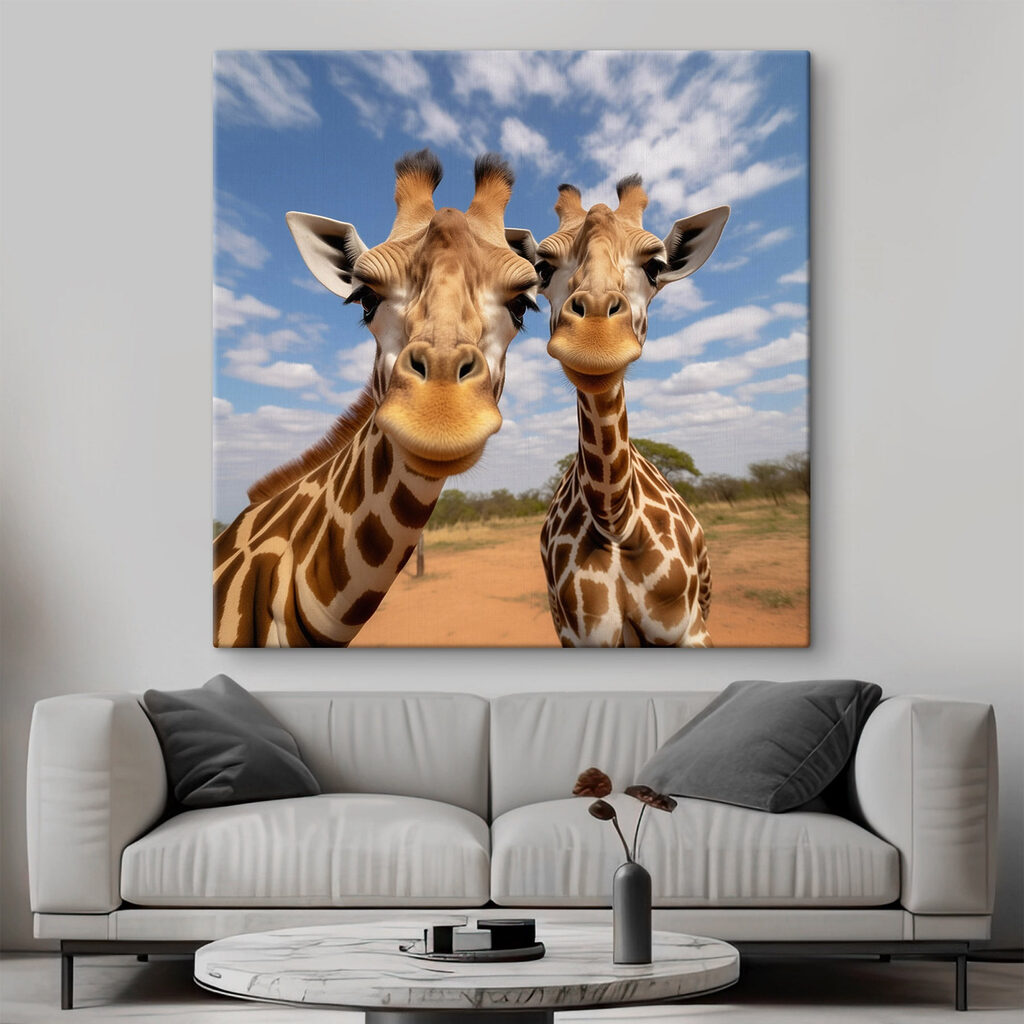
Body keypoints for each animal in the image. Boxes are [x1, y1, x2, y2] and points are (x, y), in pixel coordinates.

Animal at [534, 176, 729, 647]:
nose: (595, 340)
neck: (616, 519)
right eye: (542, 268)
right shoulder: (579, 636)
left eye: (655, 266)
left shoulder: (690, 630)